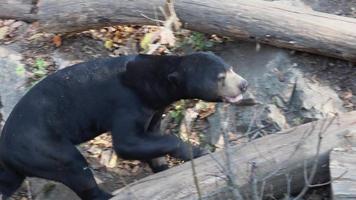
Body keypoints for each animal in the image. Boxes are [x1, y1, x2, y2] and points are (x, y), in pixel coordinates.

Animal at [0, 52, 248, 199]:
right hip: (42, 147)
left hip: (19, 165)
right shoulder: (127, 102)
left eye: (231, 67)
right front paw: (197, 152)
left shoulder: (154, 109)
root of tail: (6, 149)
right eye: (220, 77)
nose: (244, 85)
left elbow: (151, 136)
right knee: (76, 169)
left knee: (8, 182)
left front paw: (163, 168)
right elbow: (127, 142)